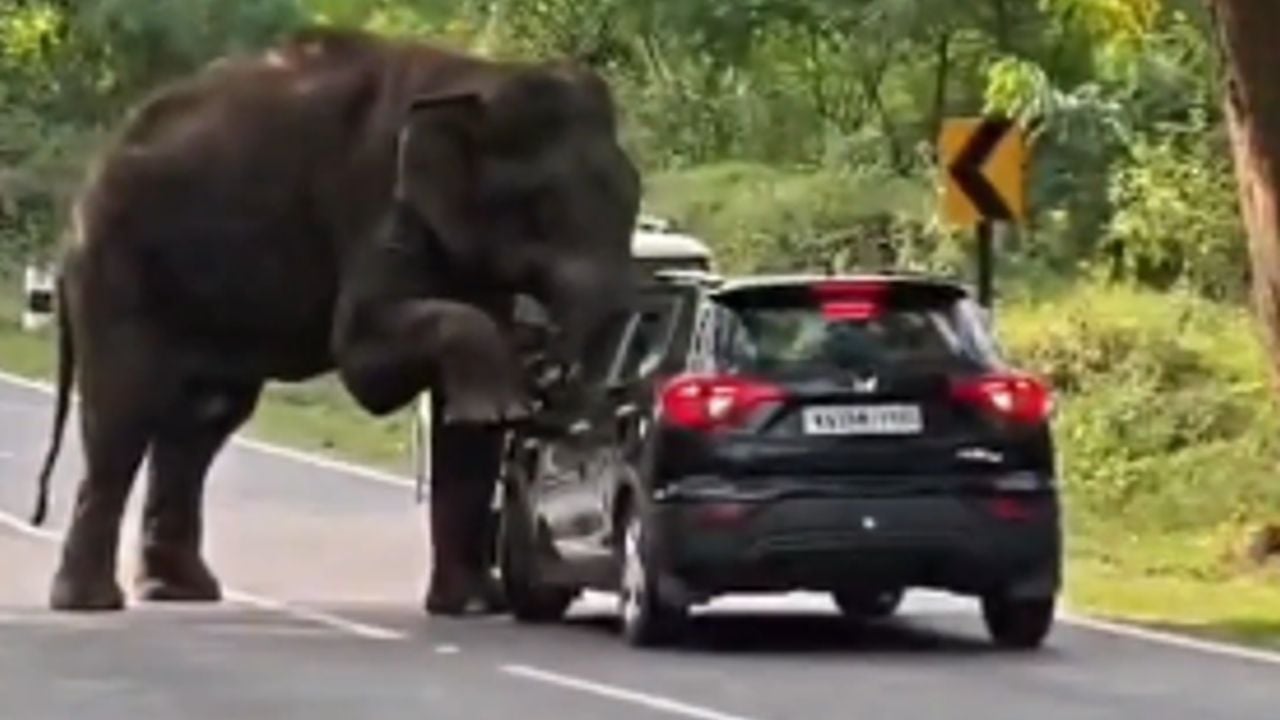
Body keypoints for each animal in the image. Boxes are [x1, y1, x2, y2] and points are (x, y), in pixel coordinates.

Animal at [29, 27, 641, 615]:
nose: (553, 374)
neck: (475, 78)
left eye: (634, 197)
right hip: (117, 273)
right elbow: (364, 357)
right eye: (544, 207)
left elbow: (466, 425)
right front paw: (506, 396)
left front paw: (470, 607)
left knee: (201, 423)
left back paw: (178, 592)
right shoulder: (378, 202)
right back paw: (90, 604)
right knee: (121, 417)